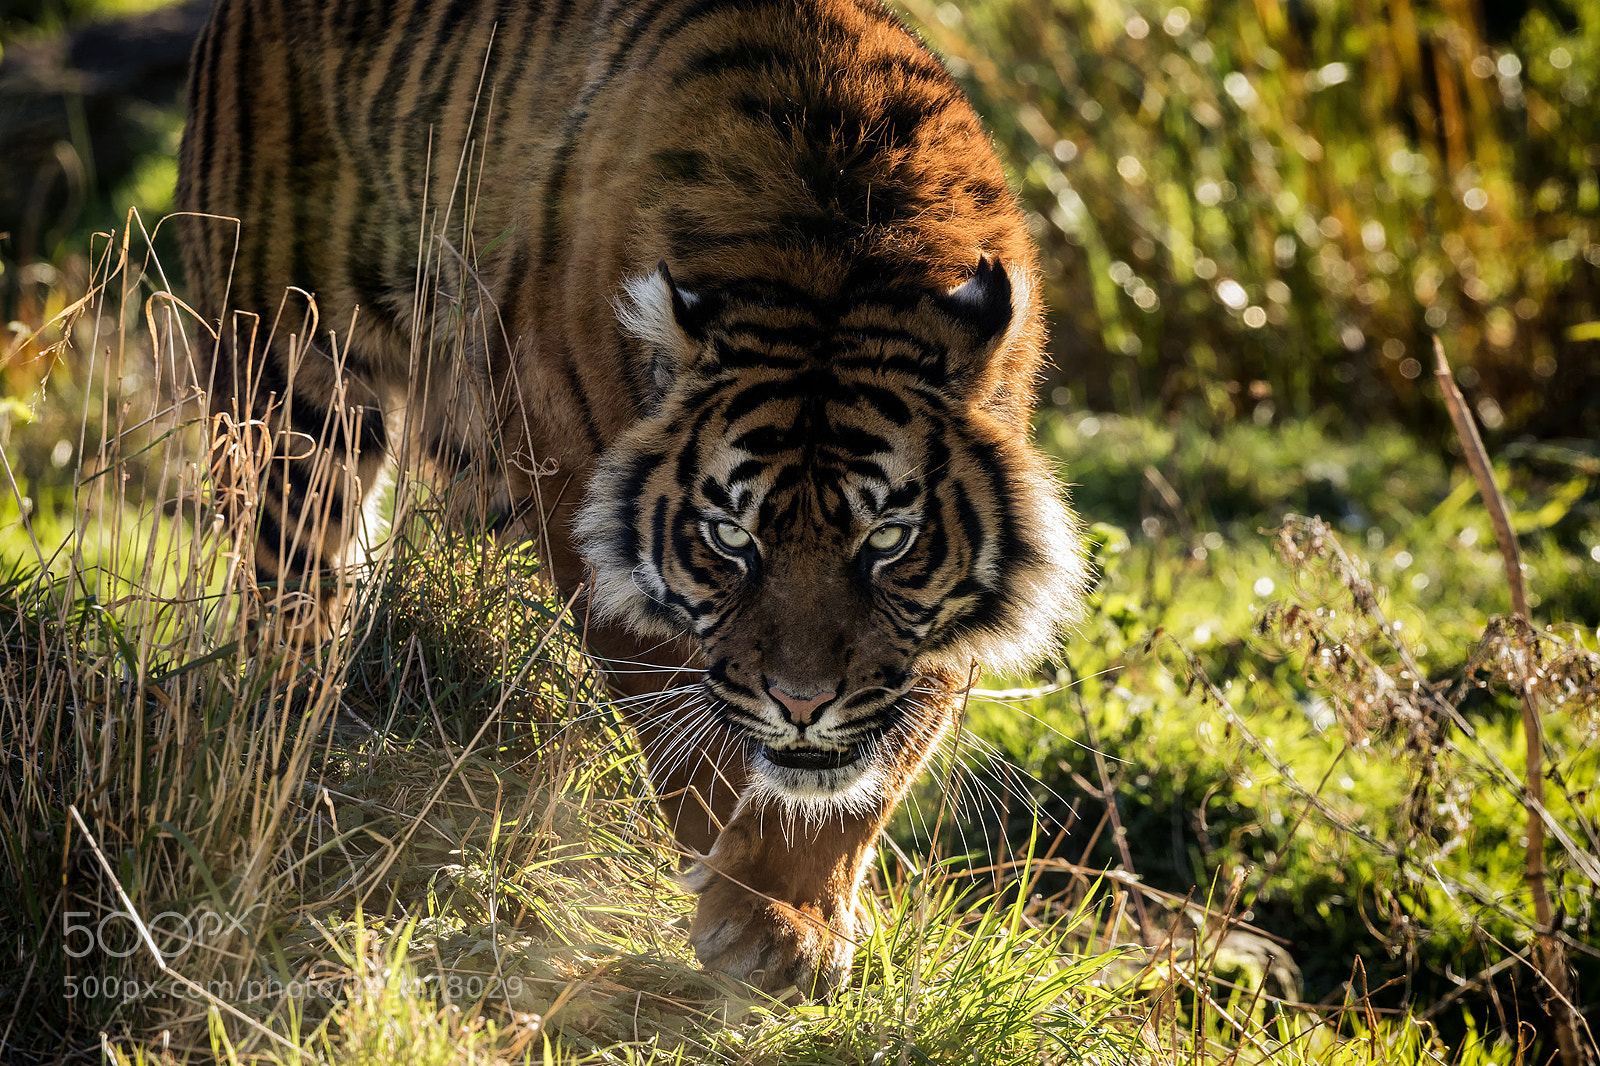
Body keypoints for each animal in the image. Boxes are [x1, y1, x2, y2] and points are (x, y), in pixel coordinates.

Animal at [177, 0, 1087, 996]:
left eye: (886, 539)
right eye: (731, 538)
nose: (803, 701)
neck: (836, 252)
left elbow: (869, 763)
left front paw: (785, 916)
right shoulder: (578, 495)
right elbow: (679, 712)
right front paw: (741, 891)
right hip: (288, 382)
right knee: (294, 592)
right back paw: (293, 749)